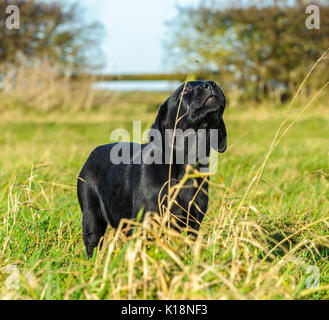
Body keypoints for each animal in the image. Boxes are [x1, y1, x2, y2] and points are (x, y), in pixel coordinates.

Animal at [77, 80, 226, 258]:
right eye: (185, 90)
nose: (211, 84)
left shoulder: (194, 222)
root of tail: (93, 152)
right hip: (91, 216)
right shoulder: (143, 221)